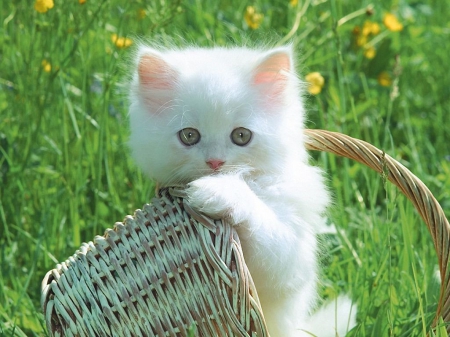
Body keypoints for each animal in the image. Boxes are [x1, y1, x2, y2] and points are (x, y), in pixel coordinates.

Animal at [128, 44, 356, 336]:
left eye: (241, 136)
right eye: (189, 136)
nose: (215, 162)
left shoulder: (292, 257)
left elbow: (262, 223)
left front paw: (215, 192)